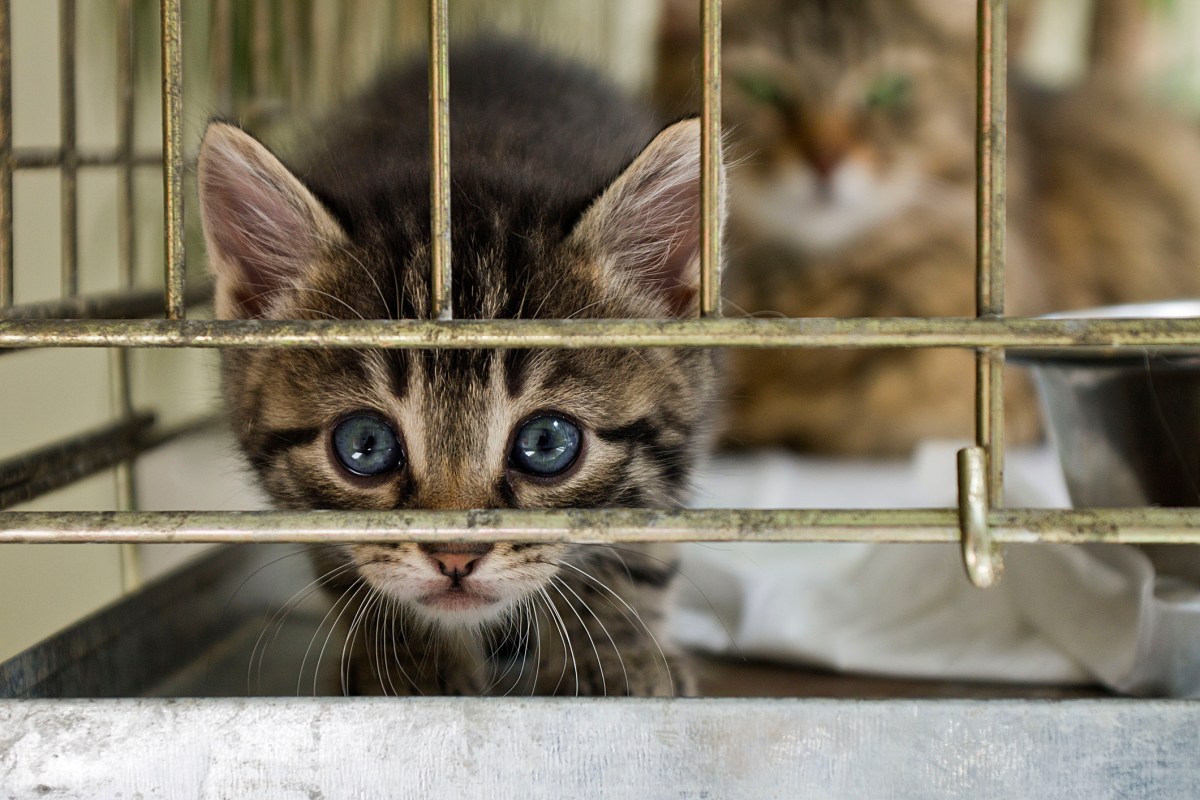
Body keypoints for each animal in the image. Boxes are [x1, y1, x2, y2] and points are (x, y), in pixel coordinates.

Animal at [200, 40, 715, 695]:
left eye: (547, 443)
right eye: (365, 445)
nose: (455, 556)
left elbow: (636, 545)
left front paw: (612, 658)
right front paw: (409, 667)